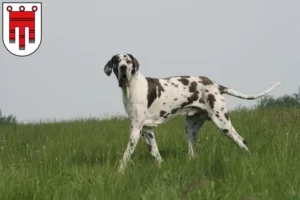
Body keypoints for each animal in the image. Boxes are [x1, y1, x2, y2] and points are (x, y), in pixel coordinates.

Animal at [103, 53, 282, 172]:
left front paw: (119, 172)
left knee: (241, 141)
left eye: (128, 61)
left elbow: (126, 155)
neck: (133, 87)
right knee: (192, 152)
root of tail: (215, 84)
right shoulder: (147, 131)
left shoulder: (135, 130)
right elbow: (156, 154)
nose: (123, 68)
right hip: (190, 128)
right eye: (116, 61)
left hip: (222, 123)